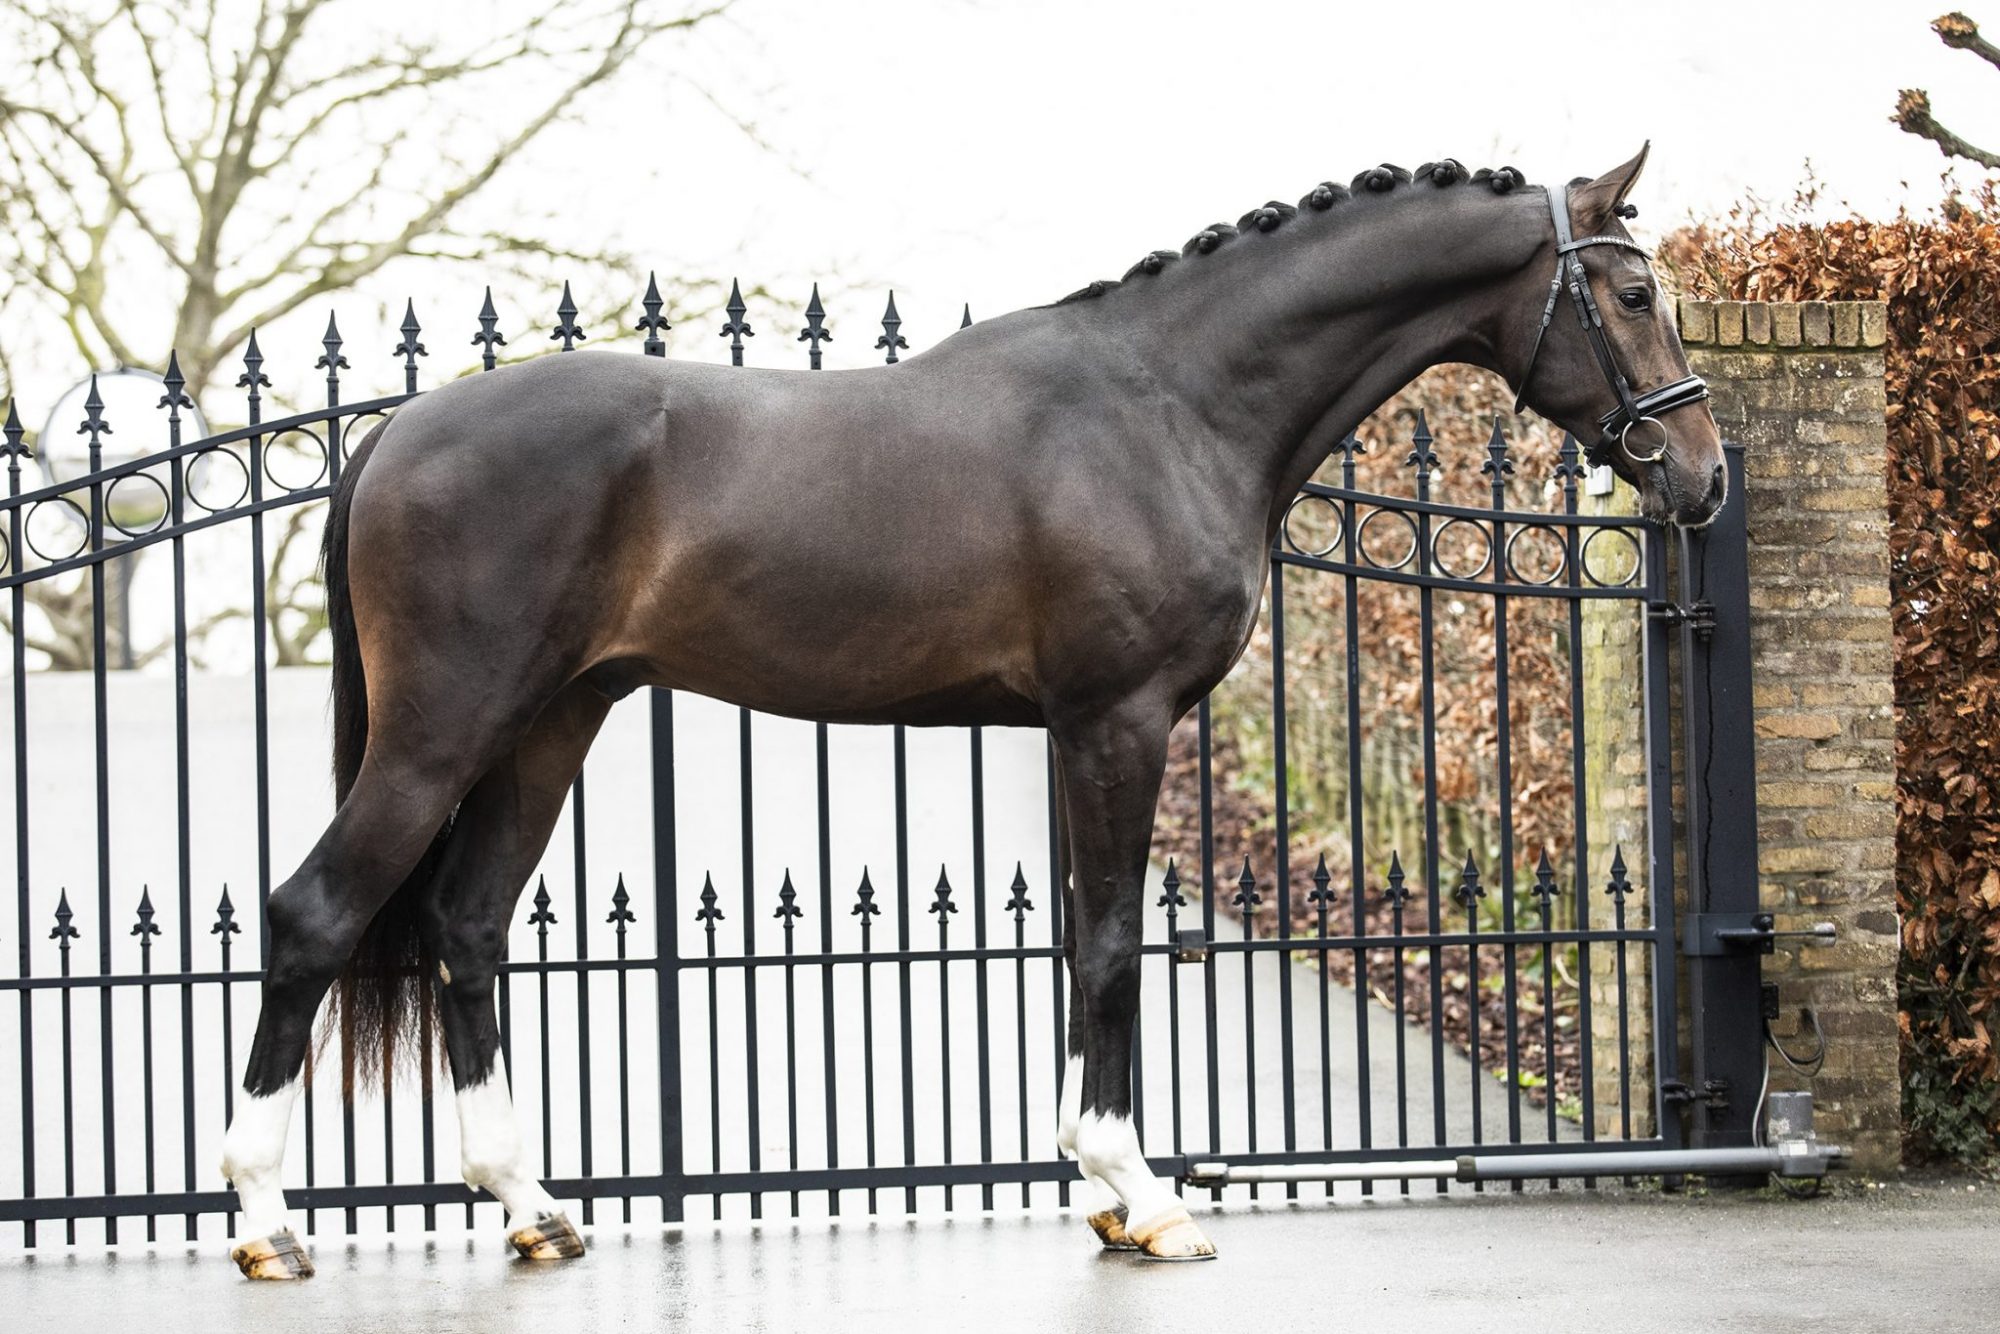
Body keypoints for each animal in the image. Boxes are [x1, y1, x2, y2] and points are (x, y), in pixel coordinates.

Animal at [217, 144, 1724, 1278]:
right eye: (1631, 289)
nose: (1702, 474)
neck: (1168, 403)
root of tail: (398, 432)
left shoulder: (1075, 733)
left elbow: (1077, 940)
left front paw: (1103, 1186)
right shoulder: (1119, 719)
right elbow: (1112, 944)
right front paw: (1144, 1191)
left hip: (548, 724)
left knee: (466, 925)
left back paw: (530, 1207)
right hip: (445, 729)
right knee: (314, 913)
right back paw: (267, 1223)